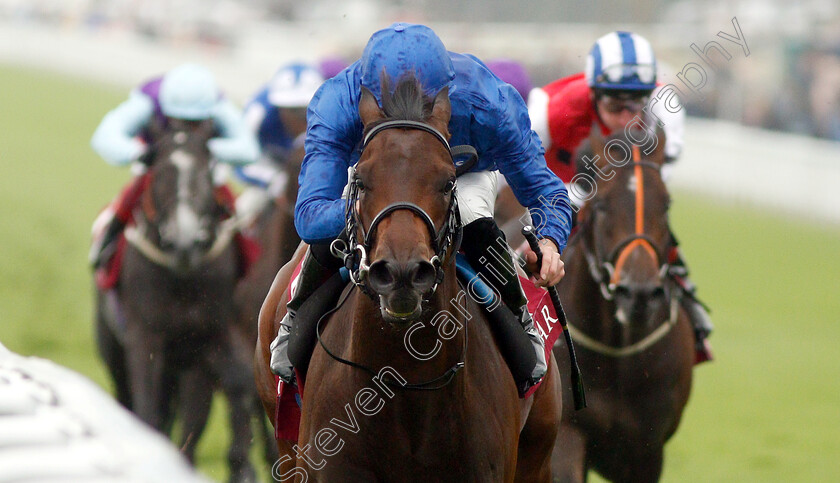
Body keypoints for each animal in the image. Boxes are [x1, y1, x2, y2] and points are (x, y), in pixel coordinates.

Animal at [94, 118, 256, 483]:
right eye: (160, 172)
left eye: (206, 170)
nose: (185, 239)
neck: (182, 276)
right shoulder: (144, 338)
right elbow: (146, 409)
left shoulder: (207, 341)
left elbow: (232, 388)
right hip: (114, 351)